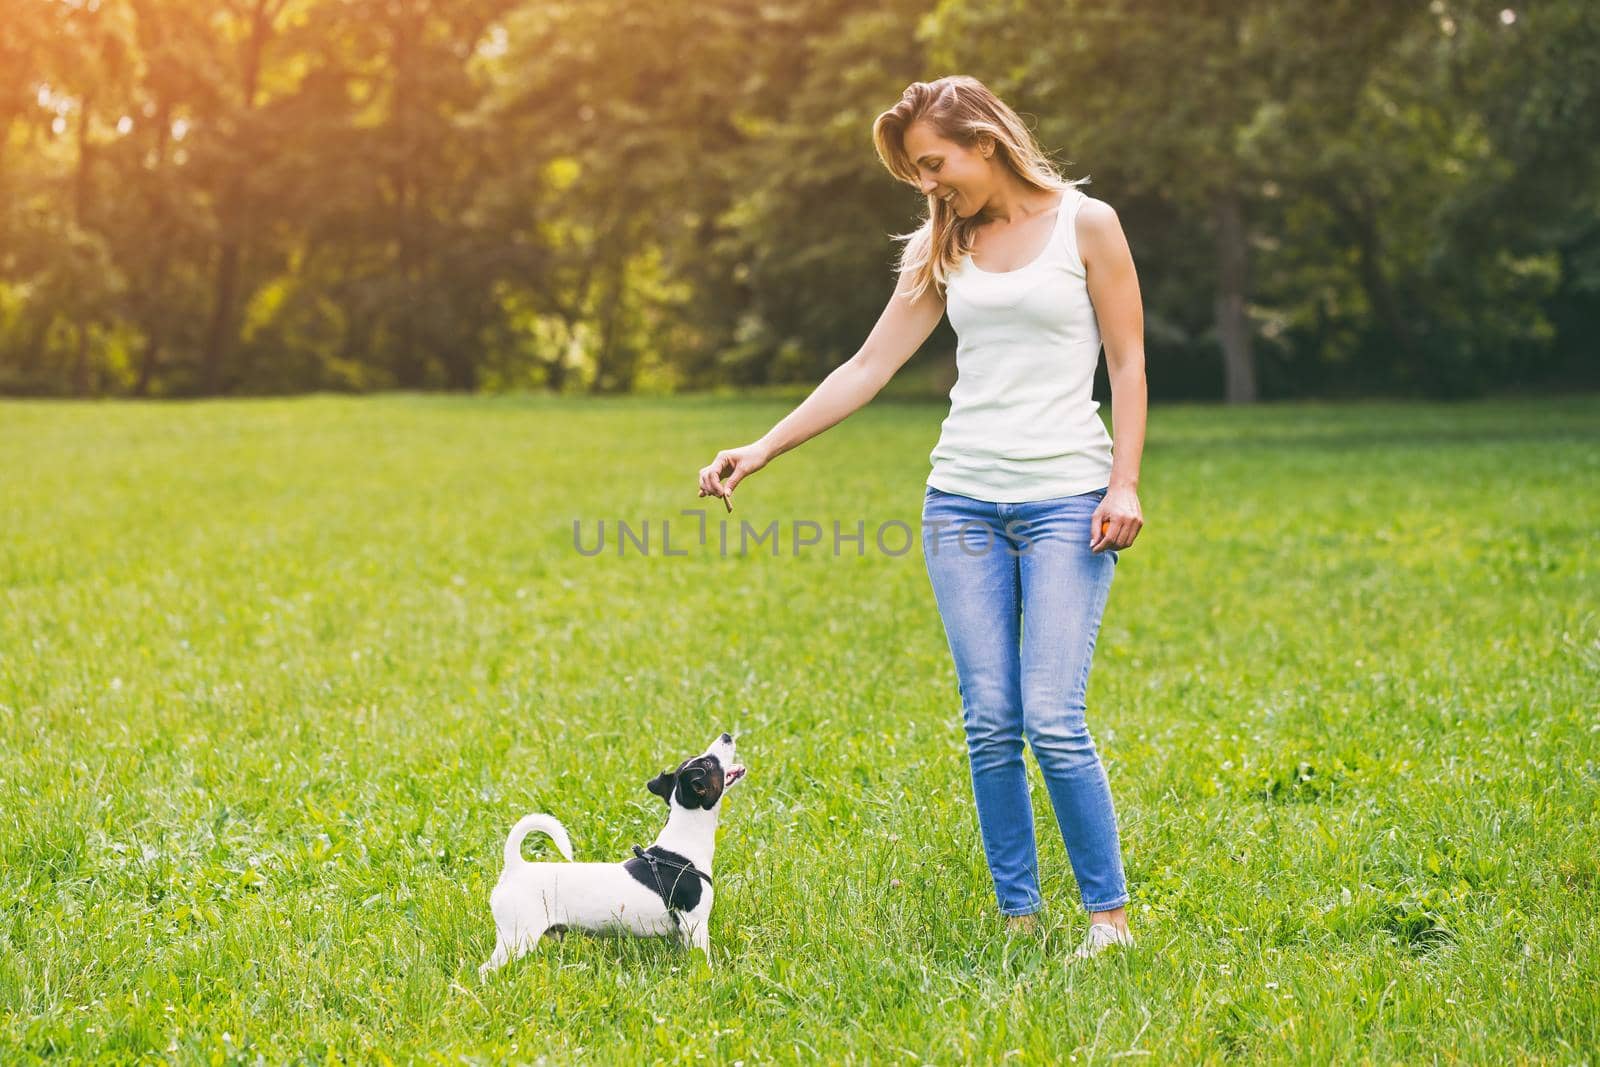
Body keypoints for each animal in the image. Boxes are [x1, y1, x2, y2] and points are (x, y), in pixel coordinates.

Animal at [476, 735, 745, 979]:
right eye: (709, 763)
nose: (726, 736)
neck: (683, 843)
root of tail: (515, 867)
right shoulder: (695, 924)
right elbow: (704, 960)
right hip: (517, 937)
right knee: (485, 969)